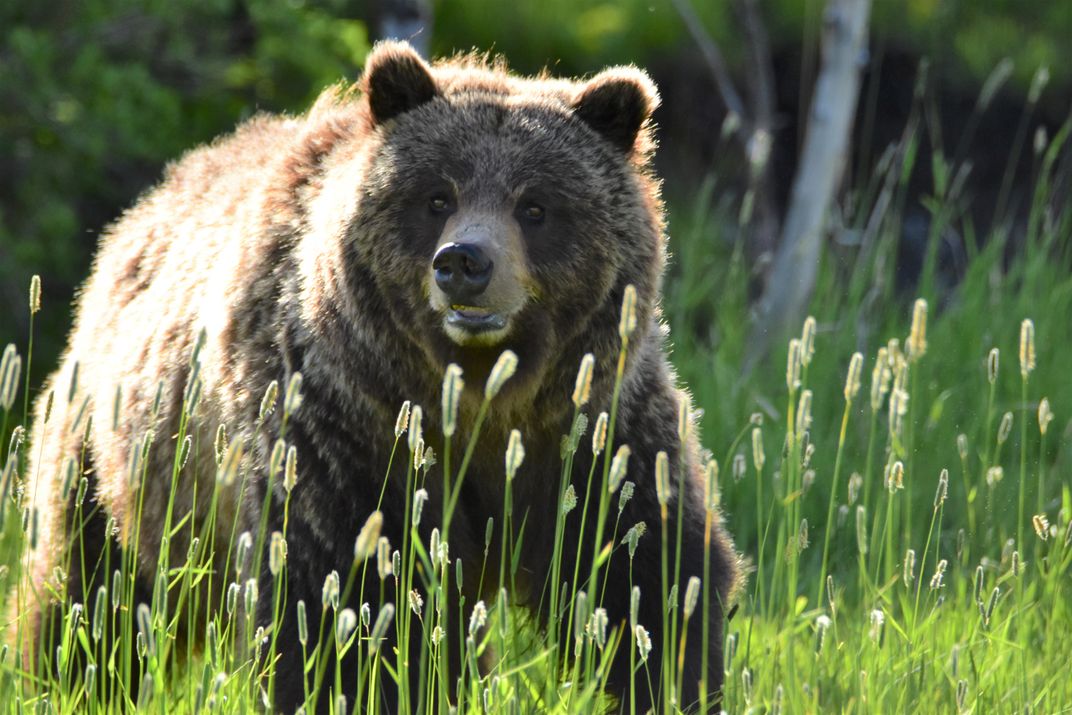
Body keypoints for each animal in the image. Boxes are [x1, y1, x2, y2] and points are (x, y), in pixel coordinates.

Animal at [16, 42, 737, 711]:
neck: (477, 396)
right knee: (90, 598)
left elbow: (647, 578)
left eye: (536, 205)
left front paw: (671, 679)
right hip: (120, 466)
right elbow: (346, 602)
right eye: (438, 195)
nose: (464, 261)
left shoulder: (591, 428)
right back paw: (60, 679)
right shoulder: (342, 430)